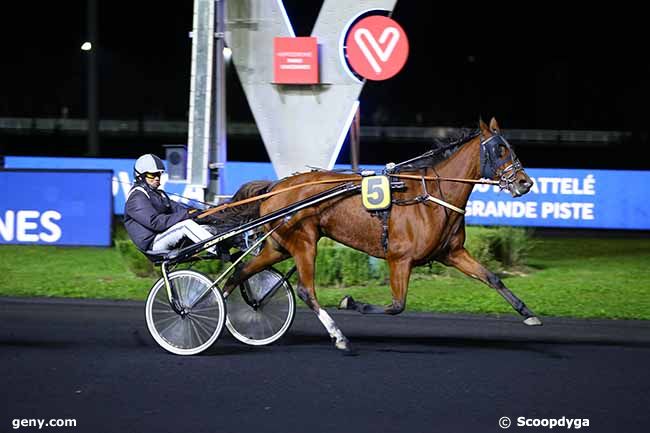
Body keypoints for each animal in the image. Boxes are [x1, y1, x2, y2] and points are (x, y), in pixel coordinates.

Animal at [209, 117, 536, 352]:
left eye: (510, 147)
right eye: (499, 149)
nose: (526, 182)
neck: (430, 197)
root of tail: (275, 187)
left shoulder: (452, 253)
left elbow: (492, 277)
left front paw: (527, 312)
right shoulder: (399, 259)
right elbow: (396, 306)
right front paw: (352, 303)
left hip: (277, 246)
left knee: (239, 273)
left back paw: (215, 306)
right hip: (304, 242)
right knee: (305, 290)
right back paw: (339, 336)